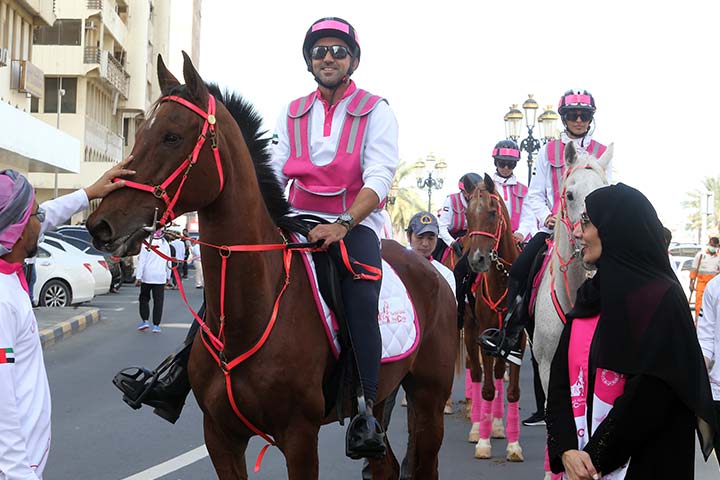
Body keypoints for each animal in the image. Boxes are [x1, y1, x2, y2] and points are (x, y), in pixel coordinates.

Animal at [84, 53, 456, 480]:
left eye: (171, 137)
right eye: (139, 135)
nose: (101, 225)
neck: (254, 310)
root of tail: (430, 270)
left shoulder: (299, 437)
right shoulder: (220, 436)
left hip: (428, 400)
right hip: (384, 396)